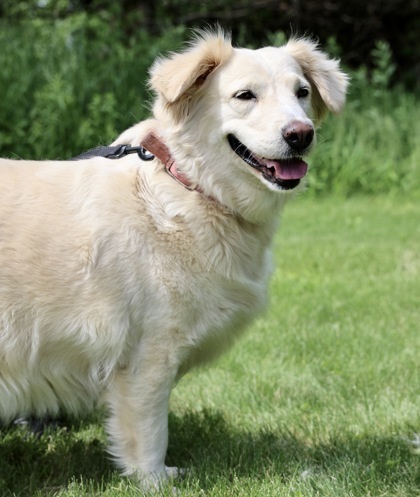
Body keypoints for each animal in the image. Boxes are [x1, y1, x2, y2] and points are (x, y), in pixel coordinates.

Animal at [0, 29, 348, 486]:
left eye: (302, 92)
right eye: (245, 95)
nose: (300, 134)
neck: (190, 186)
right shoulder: (148, 354)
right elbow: (151, 431)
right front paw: (155, 479)